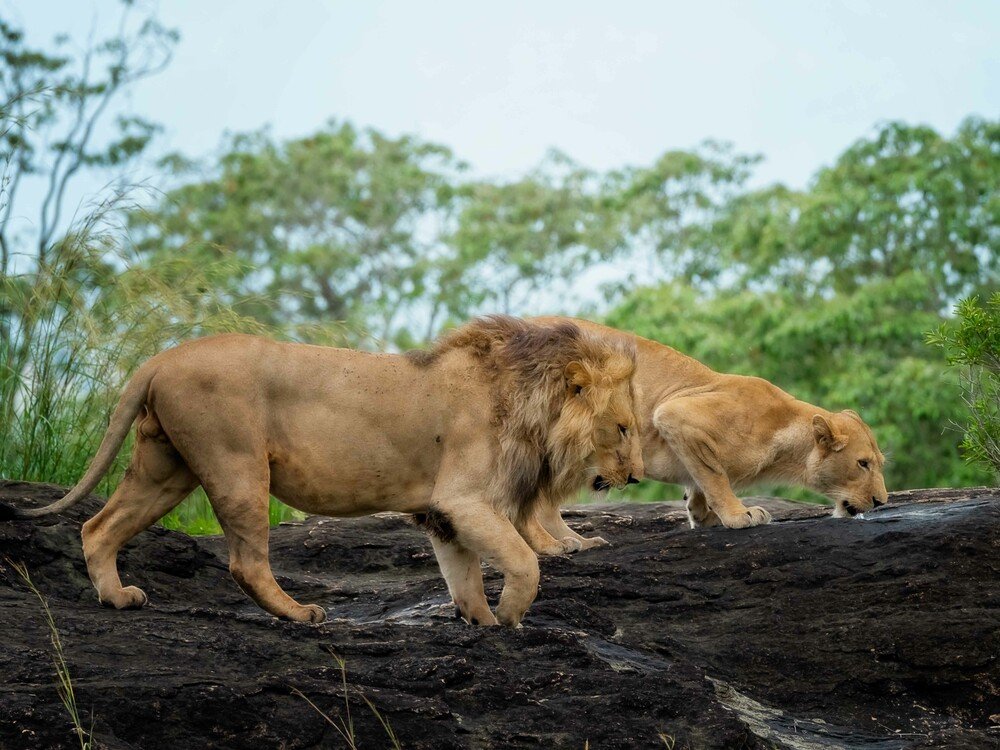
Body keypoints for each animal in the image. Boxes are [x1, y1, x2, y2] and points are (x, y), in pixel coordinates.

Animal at [0, 316, 643, 627]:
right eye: (623, 427)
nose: (637, 475)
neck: (529, 400)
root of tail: (160, 359)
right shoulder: (465, 499)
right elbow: (524, 561)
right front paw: (510, 617)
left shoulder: (442, 513)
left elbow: (462, 573)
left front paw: (479, 621)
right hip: (236, 464)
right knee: (245, 562)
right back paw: (300, 614)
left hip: (166, 469)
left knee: (97, 527)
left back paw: (116, 598)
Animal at [531, 317, 888, 546]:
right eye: (863, 464)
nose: (881, 501)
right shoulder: (676, 413)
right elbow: (715, 476)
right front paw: (739, 514)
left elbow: (700, 477)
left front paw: (702, 515)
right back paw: (569, 543)